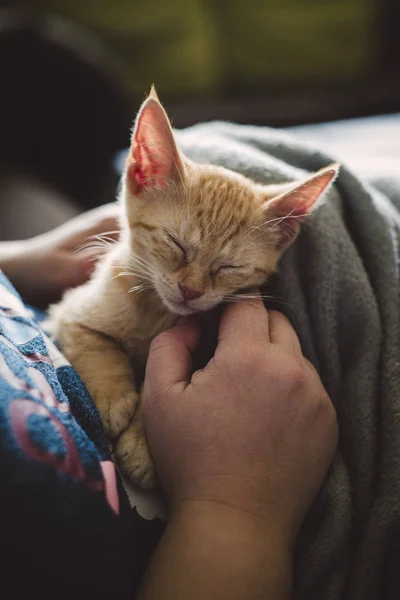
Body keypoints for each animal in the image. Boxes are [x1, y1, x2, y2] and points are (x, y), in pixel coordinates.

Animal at [48, 90, 340, 492]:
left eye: (229, 267)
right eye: (176, 244)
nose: (190, 291)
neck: (156, 313)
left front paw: (145, 445)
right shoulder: (69, 312)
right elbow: (96, 345)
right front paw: (109, 396)